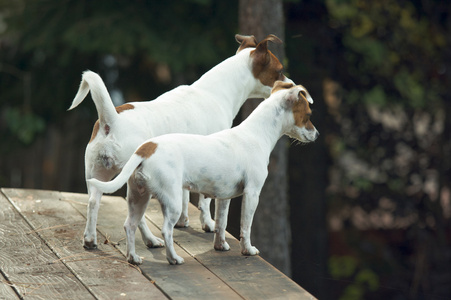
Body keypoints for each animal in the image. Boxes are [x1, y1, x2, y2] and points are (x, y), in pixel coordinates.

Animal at [68, 34, 292, 248]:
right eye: (280, 70)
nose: (290, 84)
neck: (215, 92)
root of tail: (111, 120)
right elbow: (204, 200)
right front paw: (208, 224)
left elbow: (185, 195)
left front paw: (183, 221)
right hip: (132, 180)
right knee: (137, 218)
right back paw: (151, 240)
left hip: (96, 175)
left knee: (93, 202)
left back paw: (90, 240)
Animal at [89, 80, 322, 264]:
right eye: (308, 115)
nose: (318, 135)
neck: (256, 133)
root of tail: (146, 149)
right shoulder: (252, 193)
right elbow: (245, 226)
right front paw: (248, 250)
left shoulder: (224, 197)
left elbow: (221, 223)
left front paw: (220, 246)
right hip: (172, 202)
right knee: (166, 230)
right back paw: (173, 259)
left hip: (138, 197)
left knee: (130, 225)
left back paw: (134, 257)